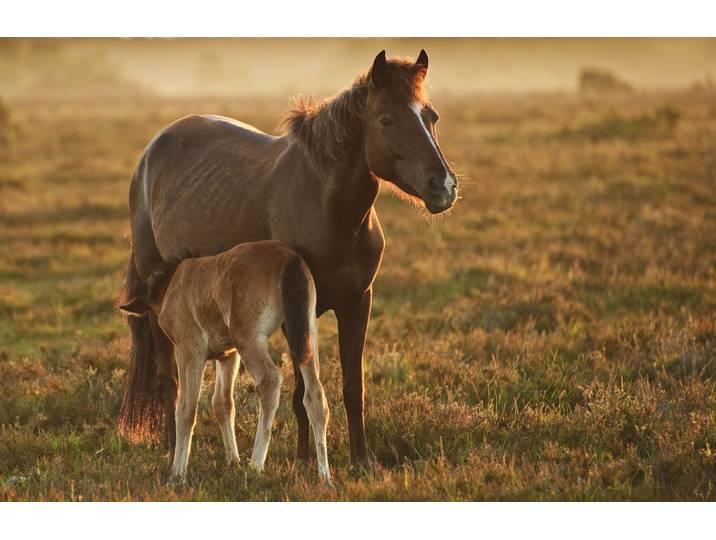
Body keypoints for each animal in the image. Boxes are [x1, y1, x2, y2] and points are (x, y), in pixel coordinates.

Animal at [119, 241, 331, 483]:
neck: (173, 283)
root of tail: (288, 258)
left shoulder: (190, 349)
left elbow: (186, 408)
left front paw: (178, 473)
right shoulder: (228, 355)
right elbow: (222, 404)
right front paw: (233, 461)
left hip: (249, 338)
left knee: (270, 380)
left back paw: (255, 465)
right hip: (307, 332)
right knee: (315, 394)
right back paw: (325, 476)